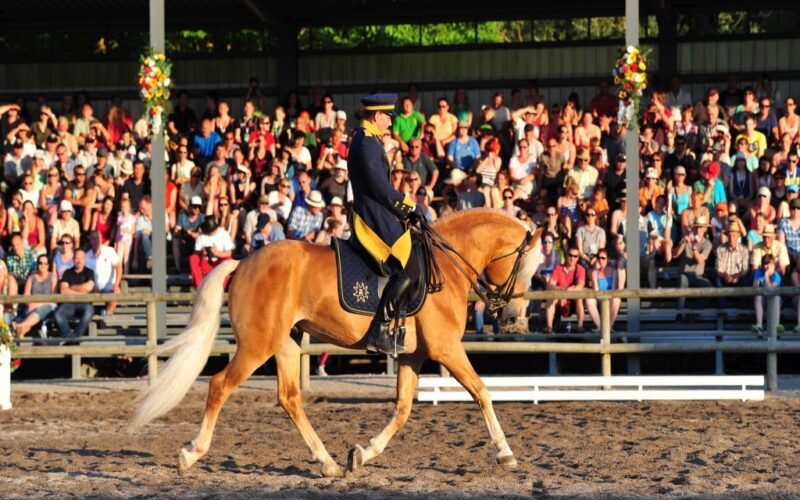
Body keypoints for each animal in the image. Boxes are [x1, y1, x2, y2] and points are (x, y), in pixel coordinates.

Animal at [130, 208, 543, 478]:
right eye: (525, 266)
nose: (512, 318)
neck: (444, 265)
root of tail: (244, 261)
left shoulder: (414, 356)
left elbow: (403, 409)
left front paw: (362, 453)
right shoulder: (446, 349)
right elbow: (481, 391)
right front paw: (505, 453)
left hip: (285, 344)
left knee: (289, 398)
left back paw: (327, 462)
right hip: (257, 345)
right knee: (219, 386)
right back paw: (191, 454)